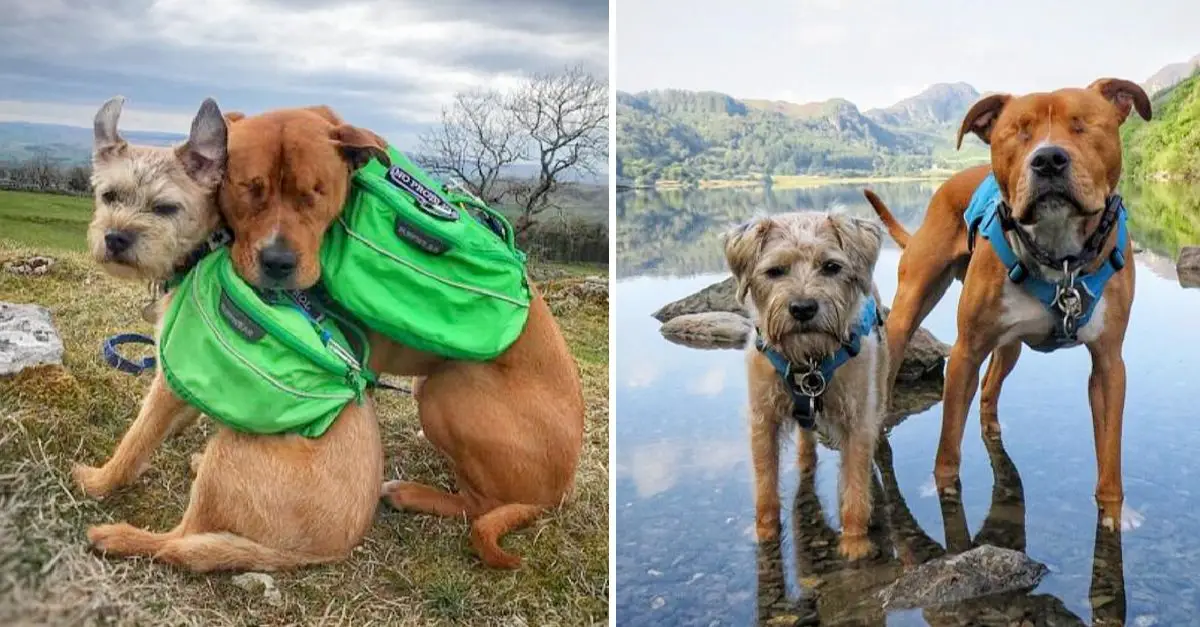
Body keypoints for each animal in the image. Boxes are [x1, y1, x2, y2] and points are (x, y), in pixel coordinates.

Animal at [219, 106, 585, 566]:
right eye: (249, 189)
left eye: (315, 193)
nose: (278, 262)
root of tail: (558, 492)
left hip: (450, 388)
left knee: (480, 505)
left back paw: (410, 494)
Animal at [724, 212, 888, 559]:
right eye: (775, 271)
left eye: (831, 266)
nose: (803, 308)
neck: (808, 360)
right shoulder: (763, 420)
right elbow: (765, 485)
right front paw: (764, 534)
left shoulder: (858, 421)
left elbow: (855, 484)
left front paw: (855, 543)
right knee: (806, 439)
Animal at [868, 76, 1147, 526]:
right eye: (1018, 132)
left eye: (1083, 124)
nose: (1048, 160)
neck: (1060, 260)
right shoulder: (964, 353)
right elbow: (948, 445)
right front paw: (944, 492)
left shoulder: (1108, 364)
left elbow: (1110, 455)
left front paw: (1113, 512)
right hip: (909, 310)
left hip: (1009, 345)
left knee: (989, 387)